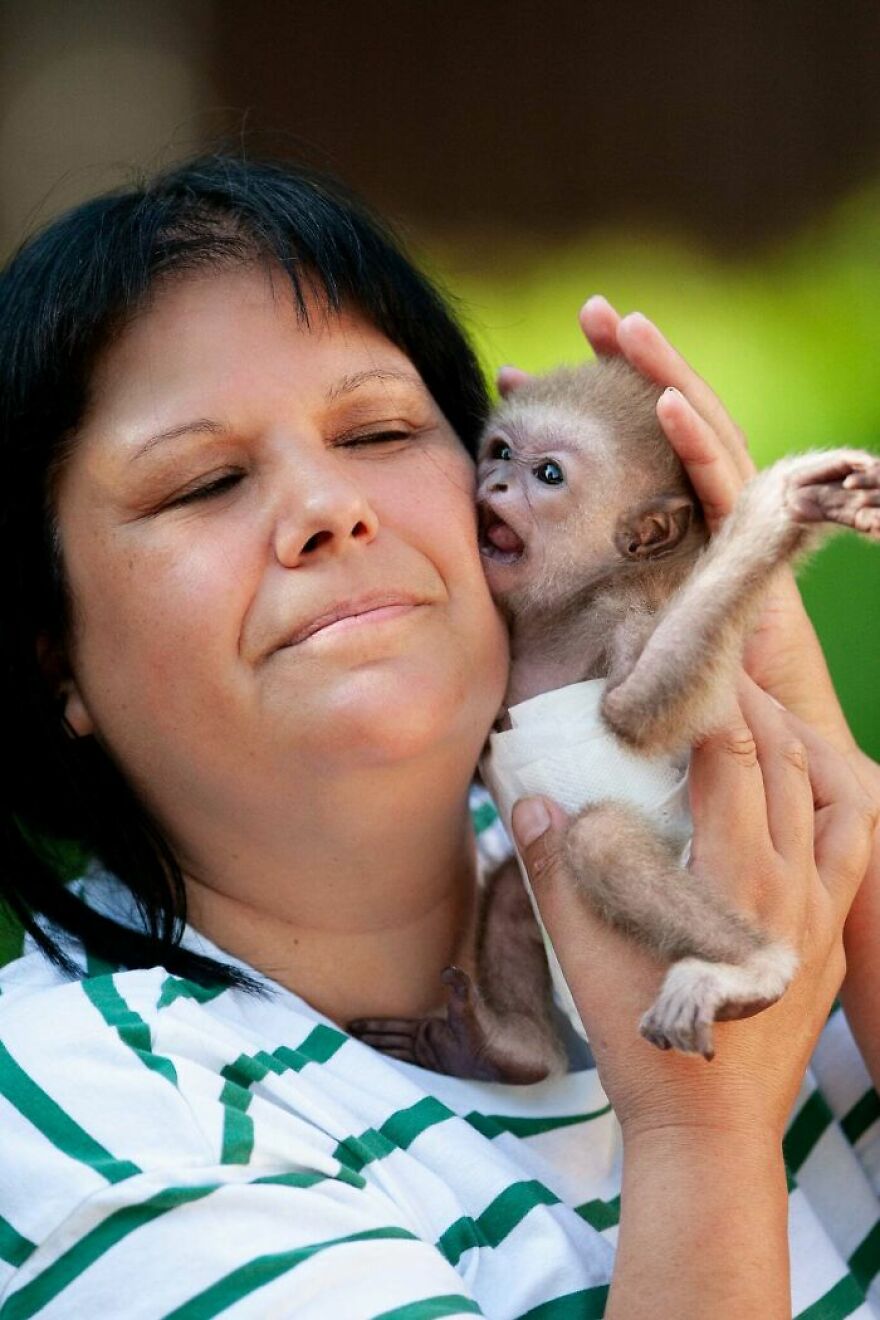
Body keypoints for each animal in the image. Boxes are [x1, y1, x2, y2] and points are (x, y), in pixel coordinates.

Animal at [348, 357, 880, 1079]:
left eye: (548, 475)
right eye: (500, 451)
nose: (494, 482)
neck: (561, 612)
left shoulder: (627, 618)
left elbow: (635, 713)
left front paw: (775, 512)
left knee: (599, 840)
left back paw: (752, 968)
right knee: (513, 887)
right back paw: (501, 1049)